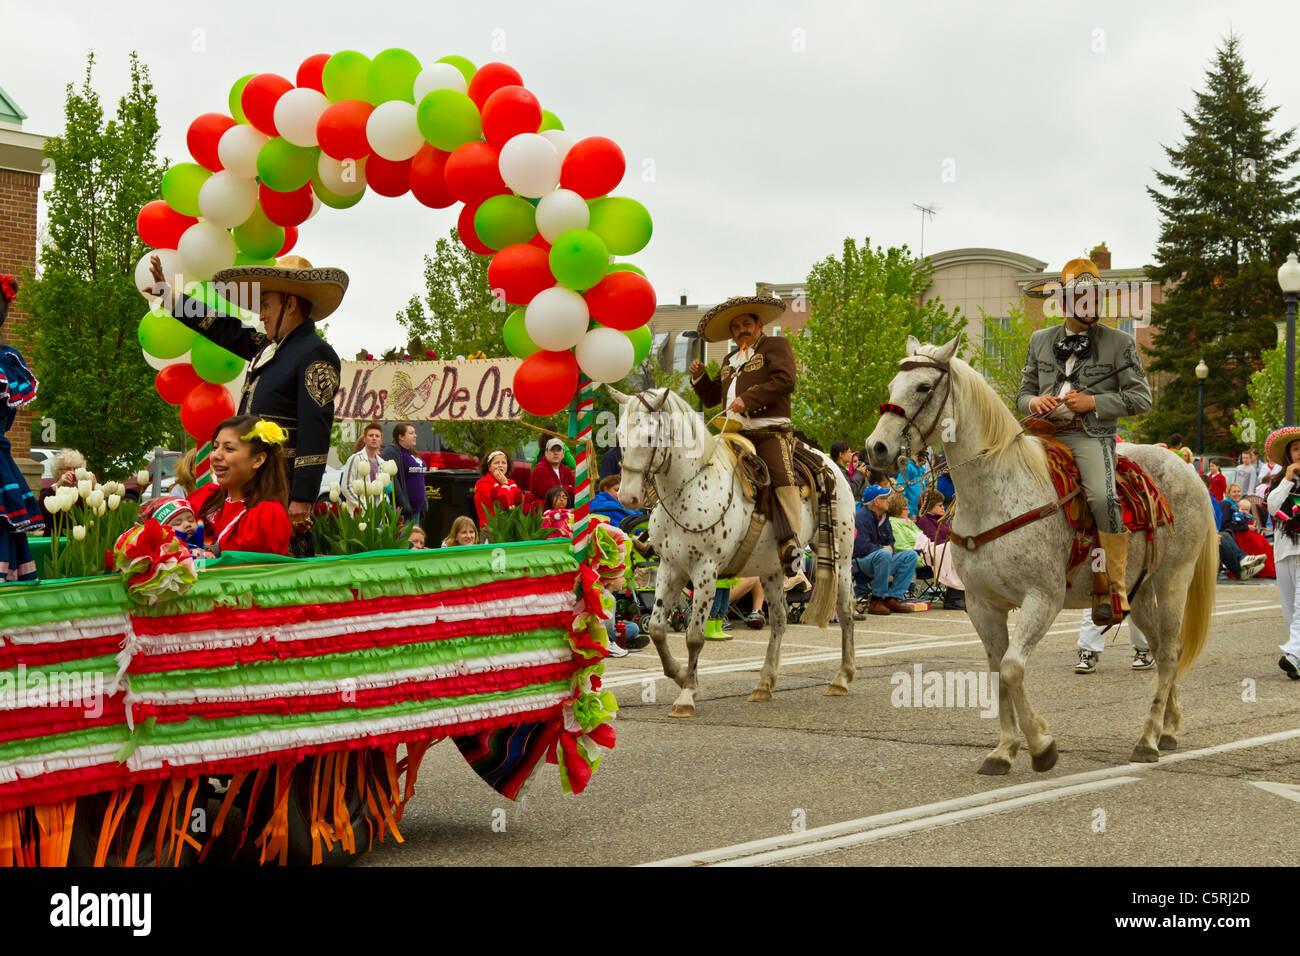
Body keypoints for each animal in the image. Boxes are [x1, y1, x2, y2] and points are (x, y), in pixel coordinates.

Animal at [863, 340, 1216, 775]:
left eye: (924, 387)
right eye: (892, 385)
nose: (876, 448)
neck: (996, 492)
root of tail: (1187, 468)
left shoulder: (1043, 598)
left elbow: (1013, 668)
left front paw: (1041, 745)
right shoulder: (981, 604)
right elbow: (997, 670)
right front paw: (1004, 749)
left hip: (1172, 581)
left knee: (1168, 654)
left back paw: (1148, 740)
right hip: (1140, 590)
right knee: (1166, 648)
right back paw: (1169, 728)